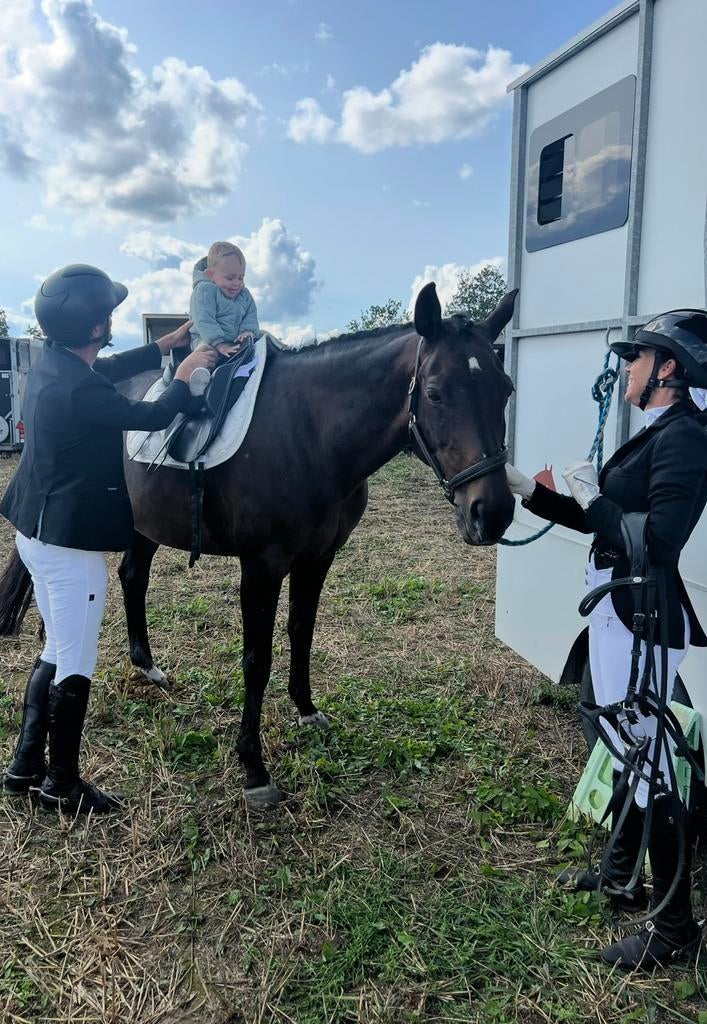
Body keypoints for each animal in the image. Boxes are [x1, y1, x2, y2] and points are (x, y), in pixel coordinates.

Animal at [0, 283, 517, 808]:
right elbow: (256, 659)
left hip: (145, 526)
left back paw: (146, 667)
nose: (492, 512)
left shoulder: (318, 559)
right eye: (434, 393)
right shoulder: (262, 567)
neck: (311, 434)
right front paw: (253, 766)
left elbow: (301, 633)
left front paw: (306, 709)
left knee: (132, 577)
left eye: (506, 389)